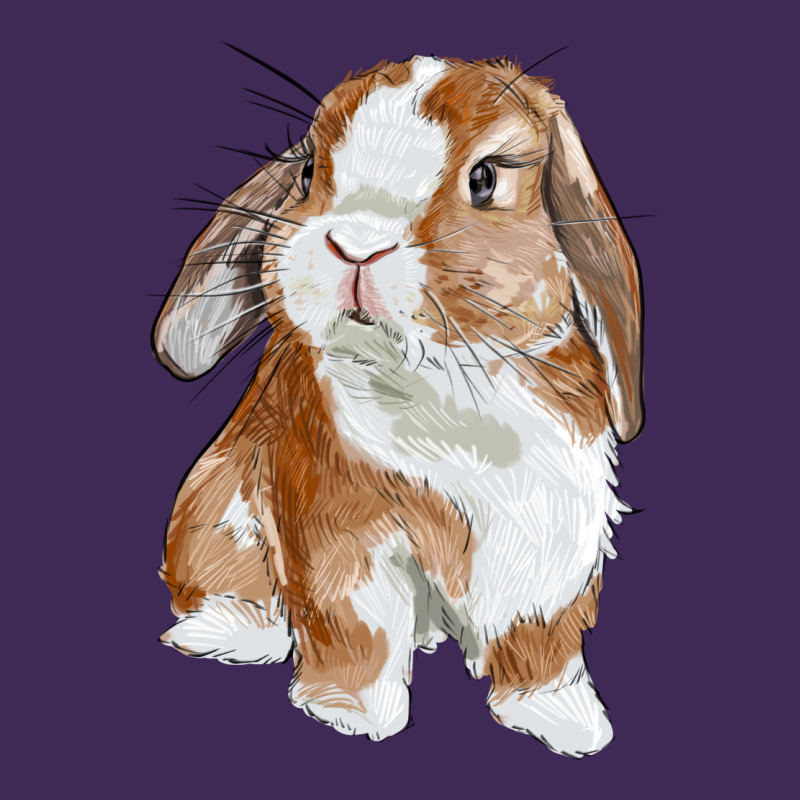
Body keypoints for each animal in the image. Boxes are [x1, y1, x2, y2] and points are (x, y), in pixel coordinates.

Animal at [153, 55, 643, 758]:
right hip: (212, 502)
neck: (442, 387)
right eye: (309, 171)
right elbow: (358, 627)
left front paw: (567, 722)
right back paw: (233, 634)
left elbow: (541, 630)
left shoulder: (550, 530)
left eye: (486, 178)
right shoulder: (340, 533)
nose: (357, 245)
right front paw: (352, 717)